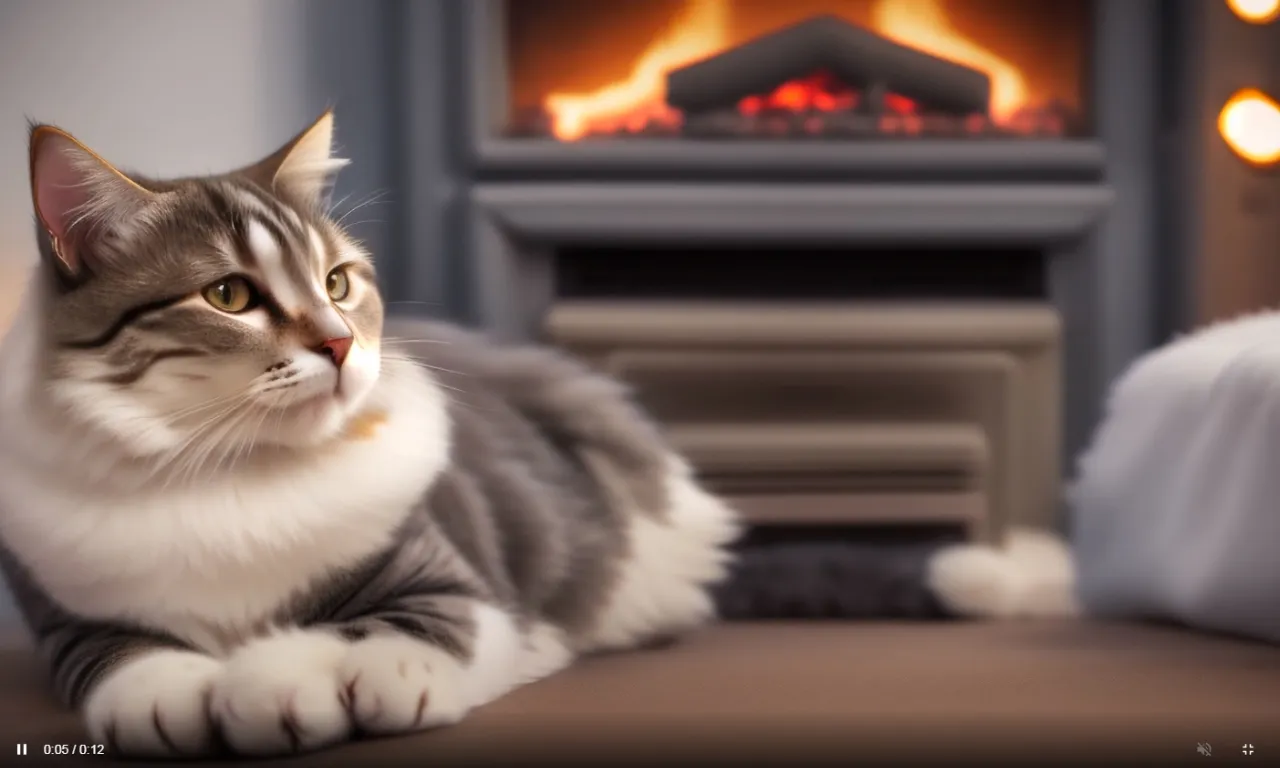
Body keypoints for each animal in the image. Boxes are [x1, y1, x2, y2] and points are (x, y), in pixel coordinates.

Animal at [0, 110, 1080, 757]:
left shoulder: (455, 584)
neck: (225, 473)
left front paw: (292, 679)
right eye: (229, 295)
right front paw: (192, 693)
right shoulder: (72, 616)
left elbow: (396, 641)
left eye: (338, 281)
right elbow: (129, 673)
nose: (342, 343)